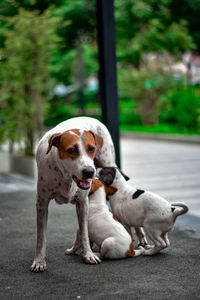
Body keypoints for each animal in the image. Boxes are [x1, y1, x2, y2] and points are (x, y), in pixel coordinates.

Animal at [30, 117, 116, 272]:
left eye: (91, 148)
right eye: (71, 150)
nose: (89, 172)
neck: (66, 176)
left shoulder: (83, 202)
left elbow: (84, 232)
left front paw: (88, 254)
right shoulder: (42, 203)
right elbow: (41, 236)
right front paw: (39, 260)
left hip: (108, 161)